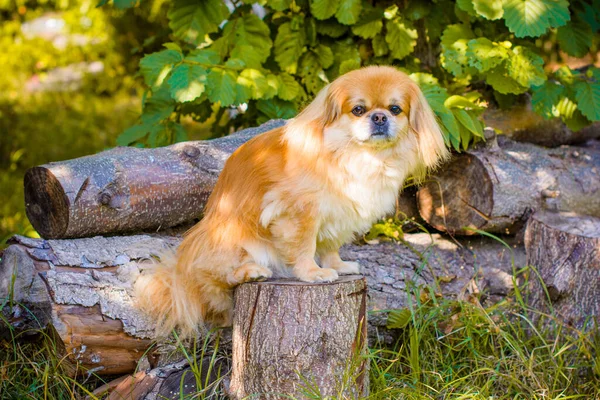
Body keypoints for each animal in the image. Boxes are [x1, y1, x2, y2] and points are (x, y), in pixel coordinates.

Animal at [134, 66, 448, 338]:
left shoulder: (339, 212)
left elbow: (330, 246)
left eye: (395, 109)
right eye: (358, 110)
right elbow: (304, 247)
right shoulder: (300, 212)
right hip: (231, 239)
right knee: (214, 280)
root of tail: (178, 272)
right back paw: (250, 272)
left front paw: (338, 266)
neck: (355, 155)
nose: (380, 117)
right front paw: (313, 273)